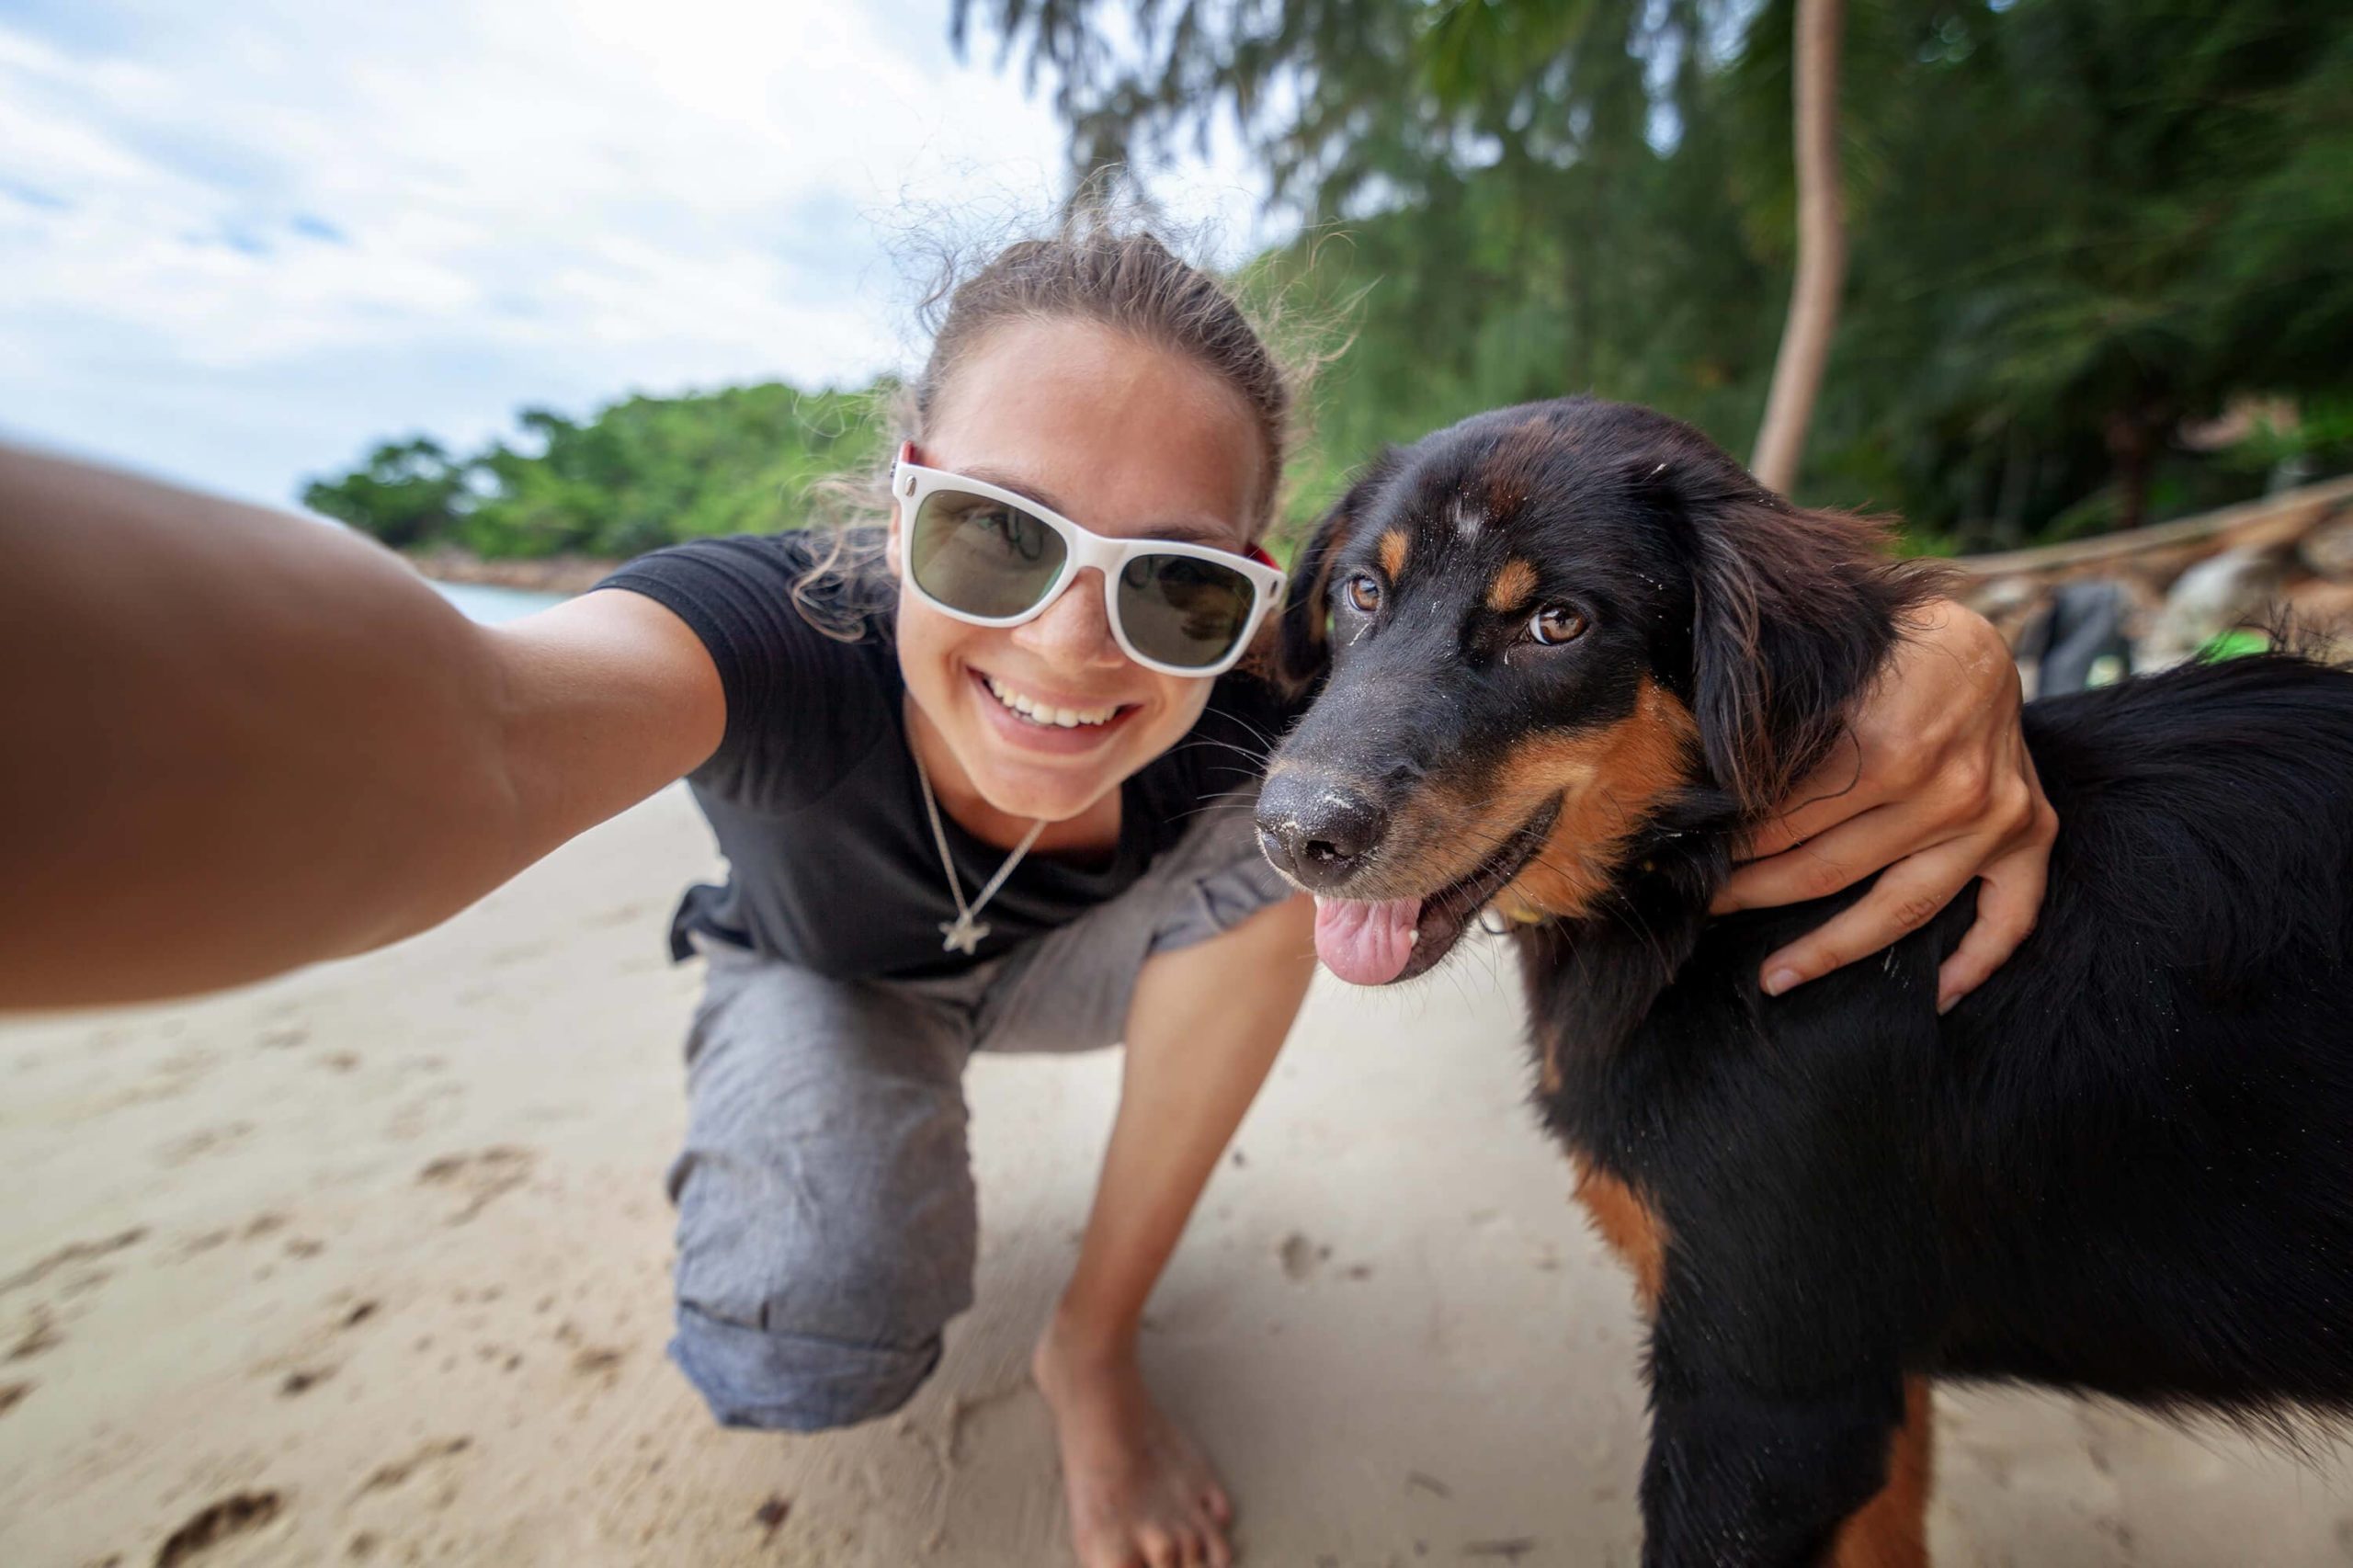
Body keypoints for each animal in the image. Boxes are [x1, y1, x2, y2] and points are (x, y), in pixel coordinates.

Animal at [1261, 392, 2353, 1562]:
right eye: (1363, 591)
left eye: (1556, 621)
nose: (1293, 832)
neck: (1701, 894)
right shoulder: (1865, 1367)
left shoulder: (1773, 1402)